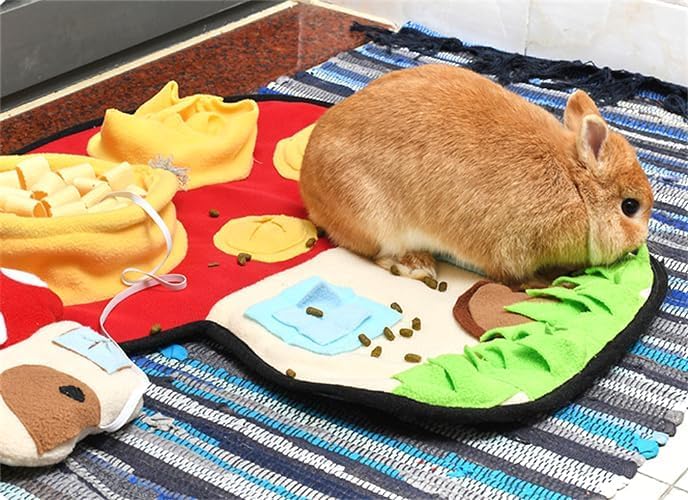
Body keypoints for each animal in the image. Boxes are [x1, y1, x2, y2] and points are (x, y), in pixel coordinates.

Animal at [299, 64, 653, 285]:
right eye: (630, 207)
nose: (640, 243)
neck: (575, 184)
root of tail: (308, 183)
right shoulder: (515, 249)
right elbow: (515, 274)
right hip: (376, 221)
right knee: (379, 254)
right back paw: (419, 266)